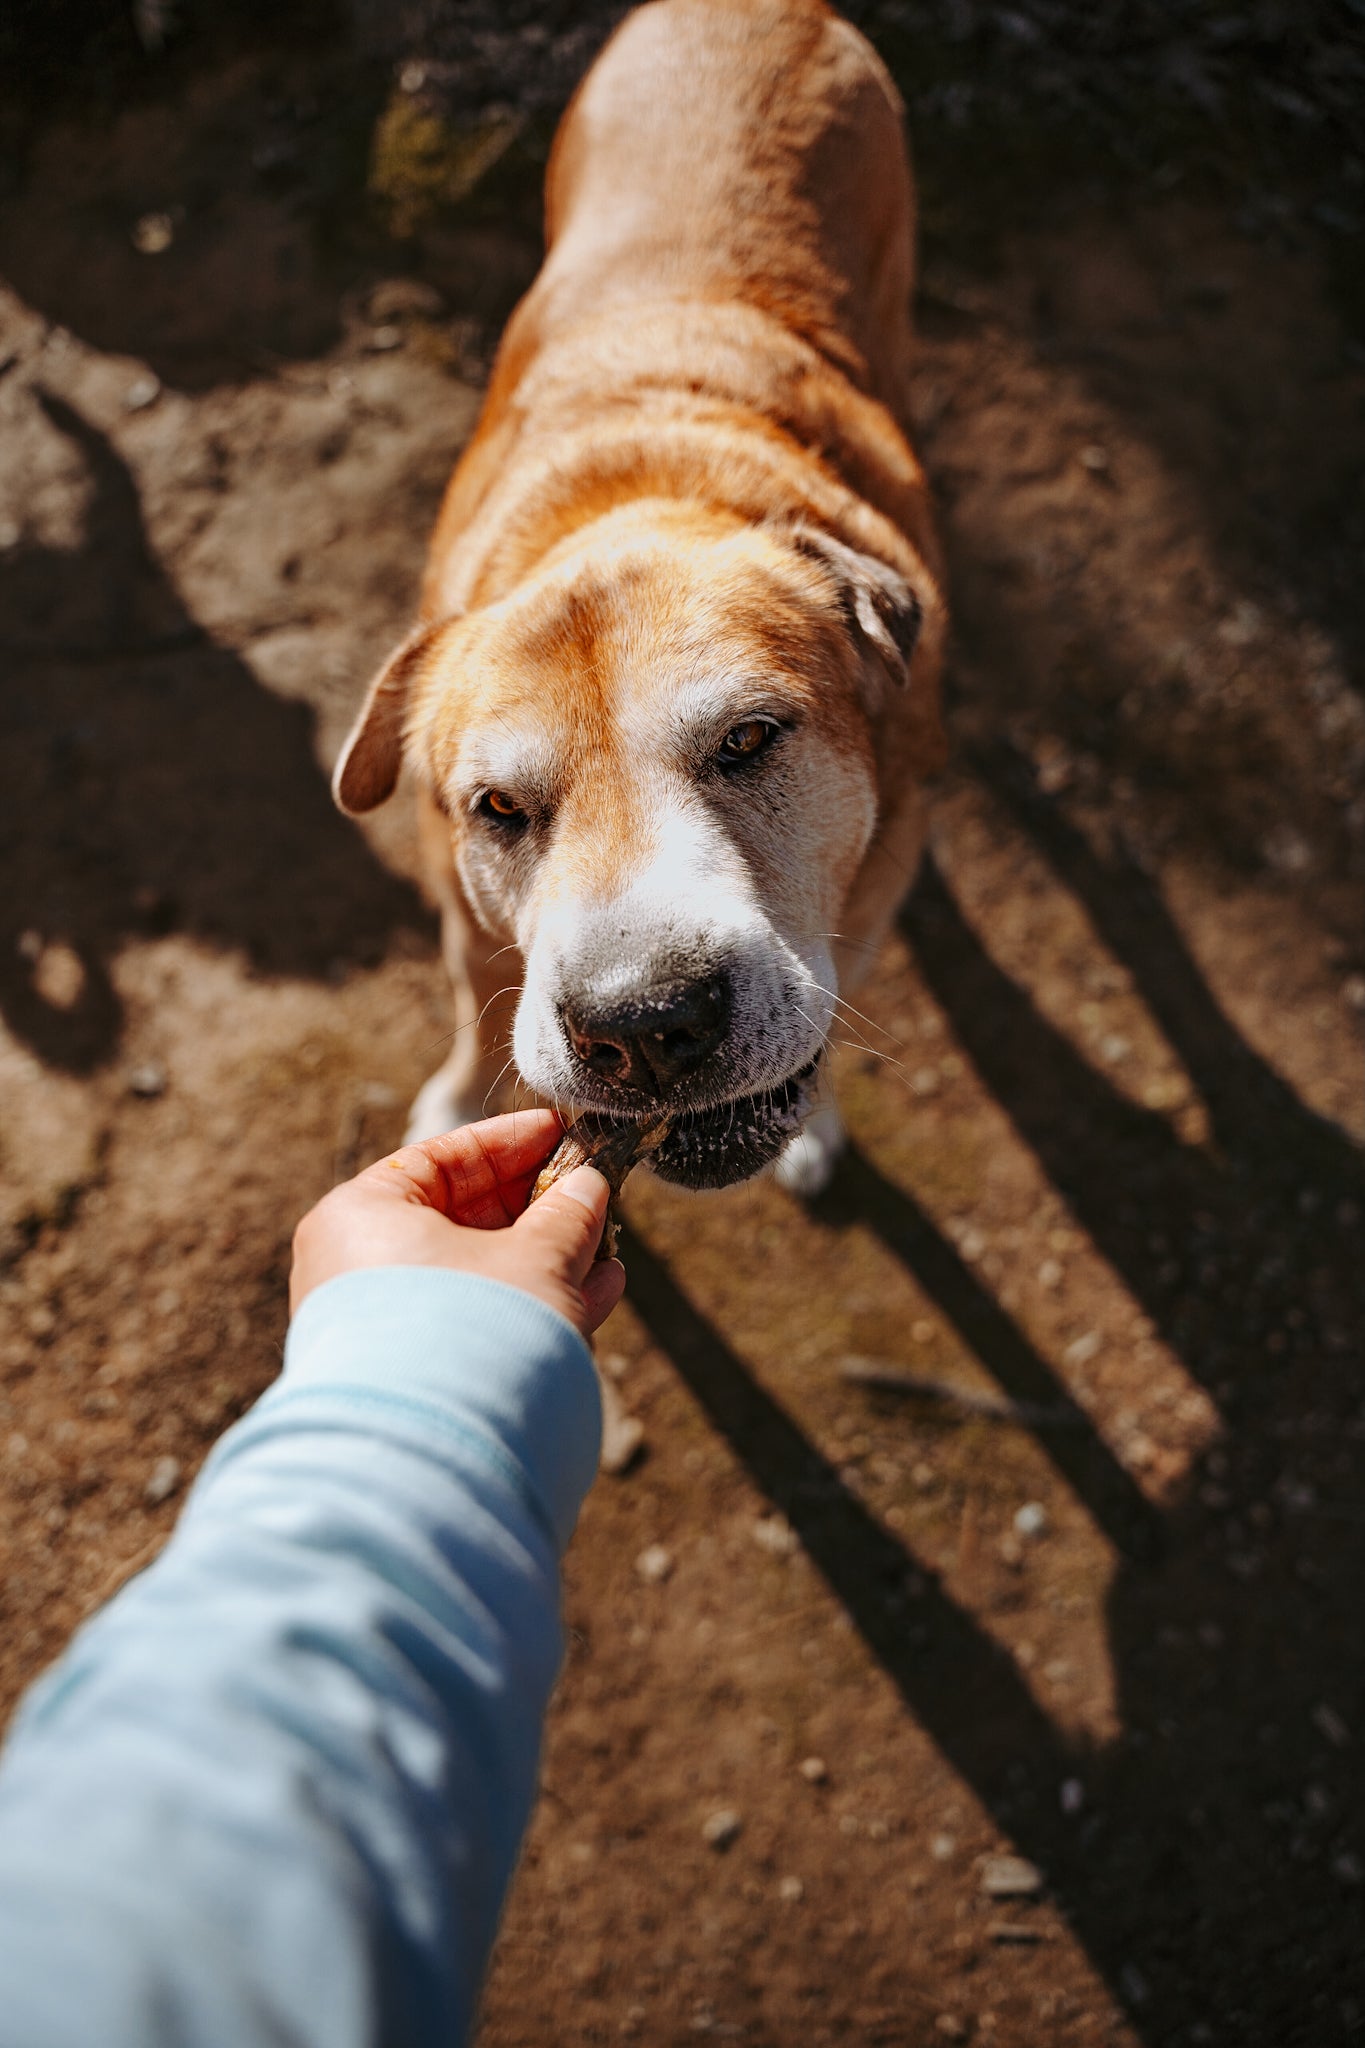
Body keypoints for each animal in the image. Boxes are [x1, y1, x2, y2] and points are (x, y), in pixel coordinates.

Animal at [335, 0, 945, 1196]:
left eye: (750, 738)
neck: (639, 491)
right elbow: (479, 1000)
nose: (644, 1027)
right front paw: (449, 1109)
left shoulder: (875, 889)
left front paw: (817, 1125)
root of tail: (759, 12)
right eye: (497, 808)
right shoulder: (461, 908)